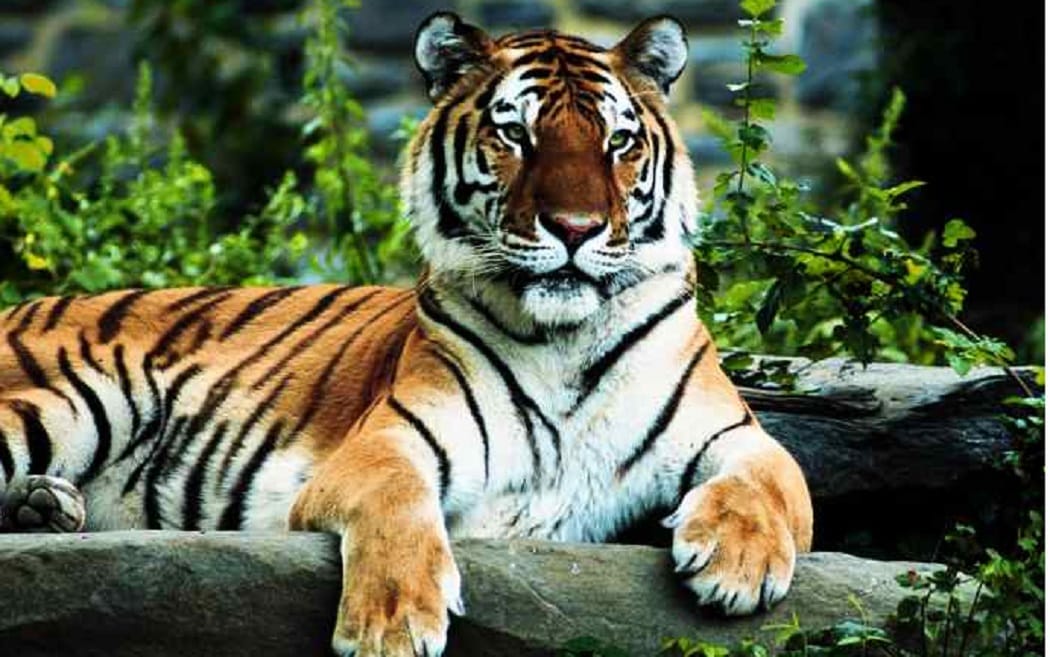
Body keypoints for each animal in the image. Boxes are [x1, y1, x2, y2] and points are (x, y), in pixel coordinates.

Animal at [0, 12, 813, 657]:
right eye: (515, 134)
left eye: (617, 142)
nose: (576, 228)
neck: (565, 340)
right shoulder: (389, 440)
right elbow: (397, 504)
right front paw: (391, 626)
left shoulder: (732, 432)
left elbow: (777, 479)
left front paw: (737, 565)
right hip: (78, 399)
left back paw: (44, 507)